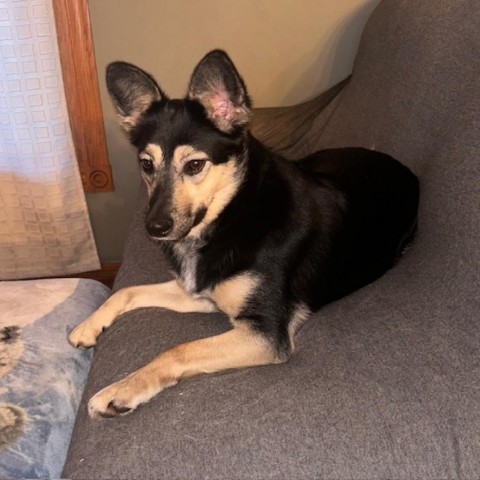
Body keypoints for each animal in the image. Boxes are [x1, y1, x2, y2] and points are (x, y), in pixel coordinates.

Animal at [69, 47, 418, 416]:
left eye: (195, 165)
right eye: (146, 165)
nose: (155, 228)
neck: (234, 214)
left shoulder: (264, 333)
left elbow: (178, 349)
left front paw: (122, 389)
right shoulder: (201, 293)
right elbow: (126, 291)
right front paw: (88, 324)